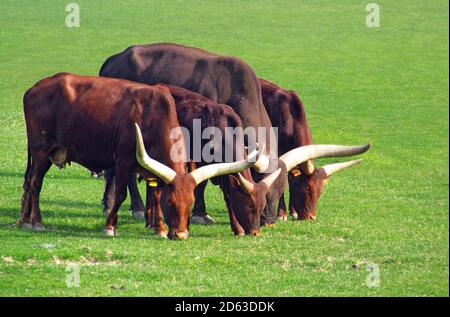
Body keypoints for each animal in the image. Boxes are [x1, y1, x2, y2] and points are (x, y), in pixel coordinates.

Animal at [19, 72, 260, 239]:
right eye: (171, 202)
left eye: (190, 202)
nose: (181, 234)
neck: (151, 115)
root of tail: (34, 88)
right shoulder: (123, 161)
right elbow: (120, 195)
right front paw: (110, 227)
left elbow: (155, 192)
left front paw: (159, 228)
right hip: (41, 151)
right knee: (35, 183)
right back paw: (37, 222)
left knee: (29, 182)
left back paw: (24, 220)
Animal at [100, 42, 370, 230]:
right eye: (306, 189)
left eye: (281, 190)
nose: (268, 220)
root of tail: (113, 59)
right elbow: (202, 181)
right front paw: (200, 214)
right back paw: (131, 206)